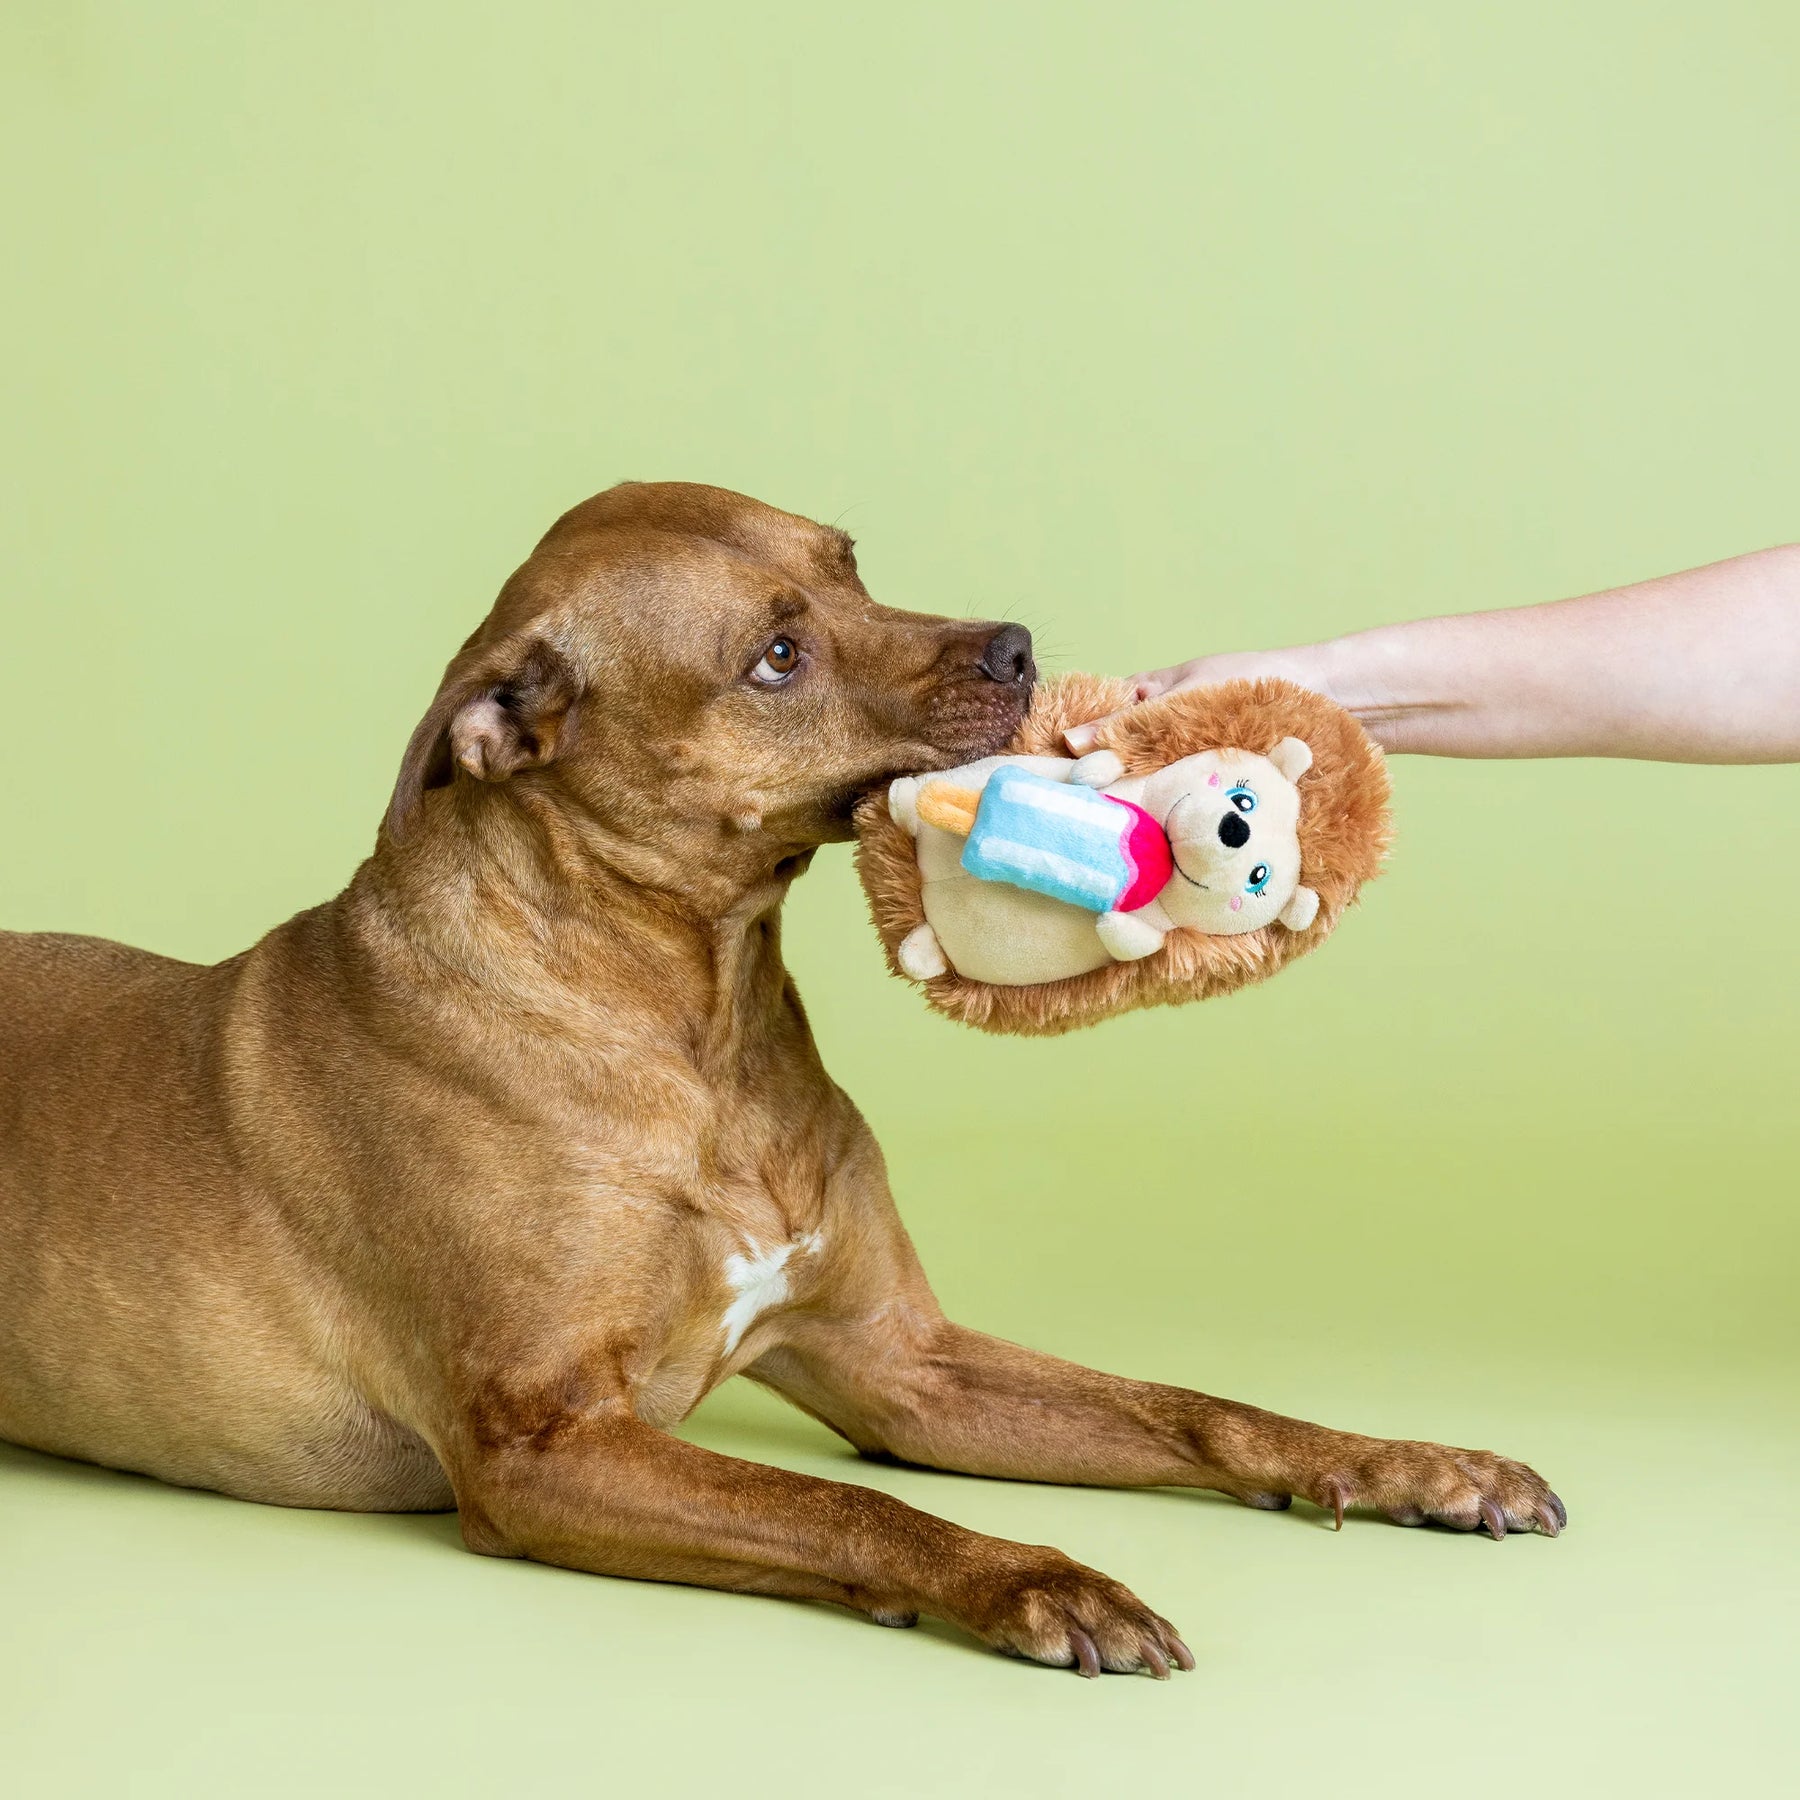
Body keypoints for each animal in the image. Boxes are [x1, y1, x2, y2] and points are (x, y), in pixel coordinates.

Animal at [0, 486, 1562, 1677]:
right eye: (775, 656)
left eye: (848, 560)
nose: (1016, 645)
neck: (695, 1021)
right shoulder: (544, 1450)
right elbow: (836, 1509)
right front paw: (1032, 1577)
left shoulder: (901, 1365)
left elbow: (1202, 1409)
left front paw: (1414, 1464)